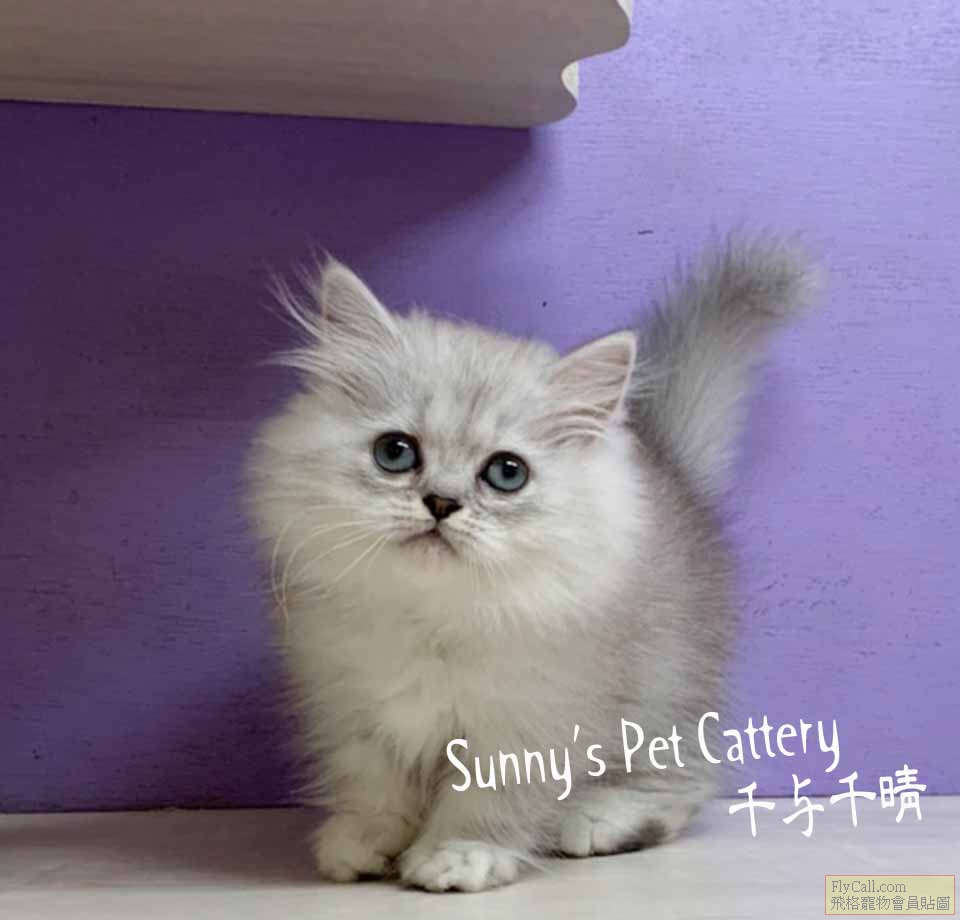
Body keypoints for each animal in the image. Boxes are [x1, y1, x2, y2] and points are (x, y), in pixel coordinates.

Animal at [246, 237, 815, 892]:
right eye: (395, 453)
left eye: (506, 473)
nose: (441, 503)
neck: (434, 621)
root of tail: (672, 466)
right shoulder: (351, 708)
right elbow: (374, 784)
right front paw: (366, 840)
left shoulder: (526, 722)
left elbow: (485, 801)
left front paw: (459, 855)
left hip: (665, 697)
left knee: (688, 782)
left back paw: (598, 820)